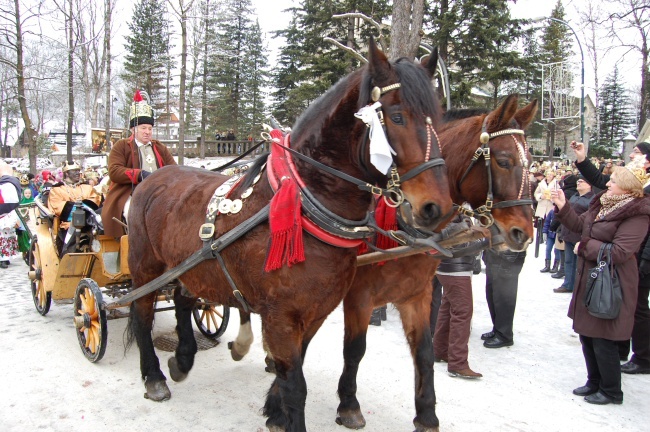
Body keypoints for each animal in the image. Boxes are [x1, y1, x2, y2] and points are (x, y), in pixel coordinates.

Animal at [125, 38, 450, 430]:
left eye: (439, 119)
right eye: (398, 116)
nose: (436, 207)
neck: (303, 205)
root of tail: (152, 176)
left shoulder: (317, 311)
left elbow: (293, 370)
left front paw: (275, 410)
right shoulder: (281, 316)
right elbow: (296, 385)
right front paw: (286, 411)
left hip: (191, 266)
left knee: (184, 299)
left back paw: (183, 358)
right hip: (146, 266)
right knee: (141, 312)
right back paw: (153, 376)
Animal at [332, 95, 536, 432]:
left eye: (532, 162)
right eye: (504, 161)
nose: (524, 233)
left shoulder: (417, 294)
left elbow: (424, 352)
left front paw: (427, 414)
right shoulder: (359, 296)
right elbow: (354, 349)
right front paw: (349, 404)